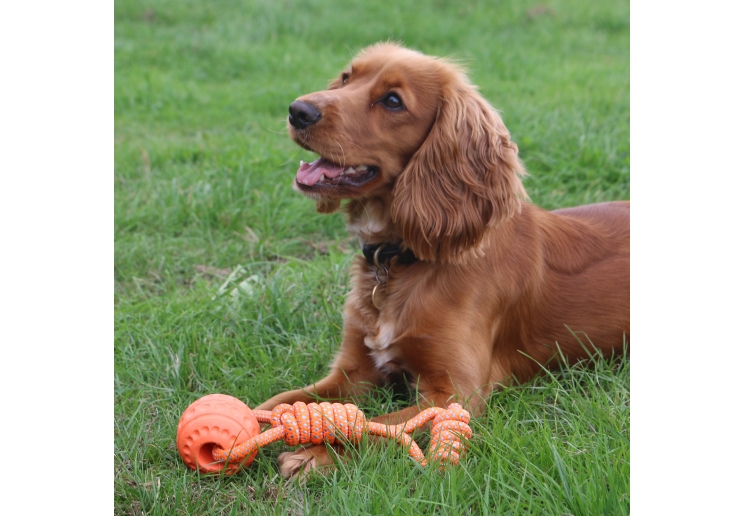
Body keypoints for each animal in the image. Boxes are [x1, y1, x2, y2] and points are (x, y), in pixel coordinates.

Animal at [256, 42, 628, 478]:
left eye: (393, 101)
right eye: (347, 77)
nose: (297, 110)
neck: (403, 260)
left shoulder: (456, 392)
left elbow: (380, 425)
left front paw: (318, 454)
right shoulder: (353, 371)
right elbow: (281, 399)